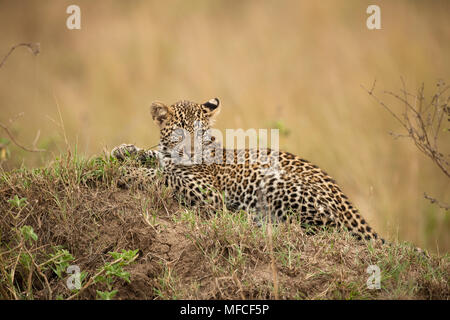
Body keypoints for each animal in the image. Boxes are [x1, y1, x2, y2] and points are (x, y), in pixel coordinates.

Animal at [110, 97, 384, 242]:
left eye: (201, 132)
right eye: (180, 133)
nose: (191, 151)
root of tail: (342, 197)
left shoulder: (207, 191)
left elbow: (163, 176)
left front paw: (128, 172)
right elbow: (156, 159)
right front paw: (124, 150)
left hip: (274, 182)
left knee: (323, 227)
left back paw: (248, 218)